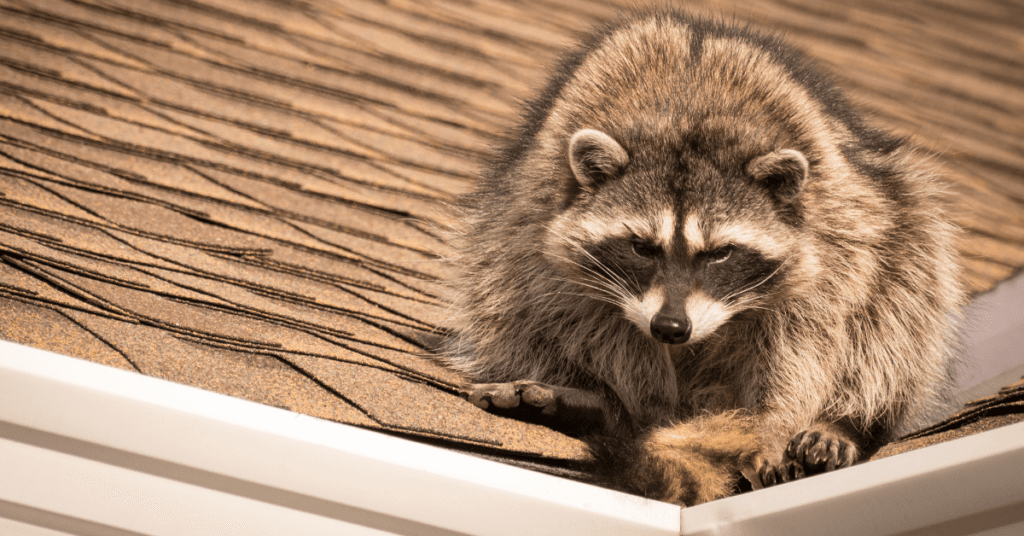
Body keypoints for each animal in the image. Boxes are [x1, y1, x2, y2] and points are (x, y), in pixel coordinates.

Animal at [444, 12, 962, 508]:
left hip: (899, 218)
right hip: (502, 233)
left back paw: (842, 422)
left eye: (720, 253)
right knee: (505, 290)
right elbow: (585, 316)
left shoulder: (834, 240)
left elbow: (807, 338)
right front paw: (642, 404)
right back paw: (600, 401)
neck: (686, 118)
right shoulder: (543, 225)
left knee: (900, 301)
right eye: (642, 247)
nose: (671, 328)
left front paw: (773, 424)